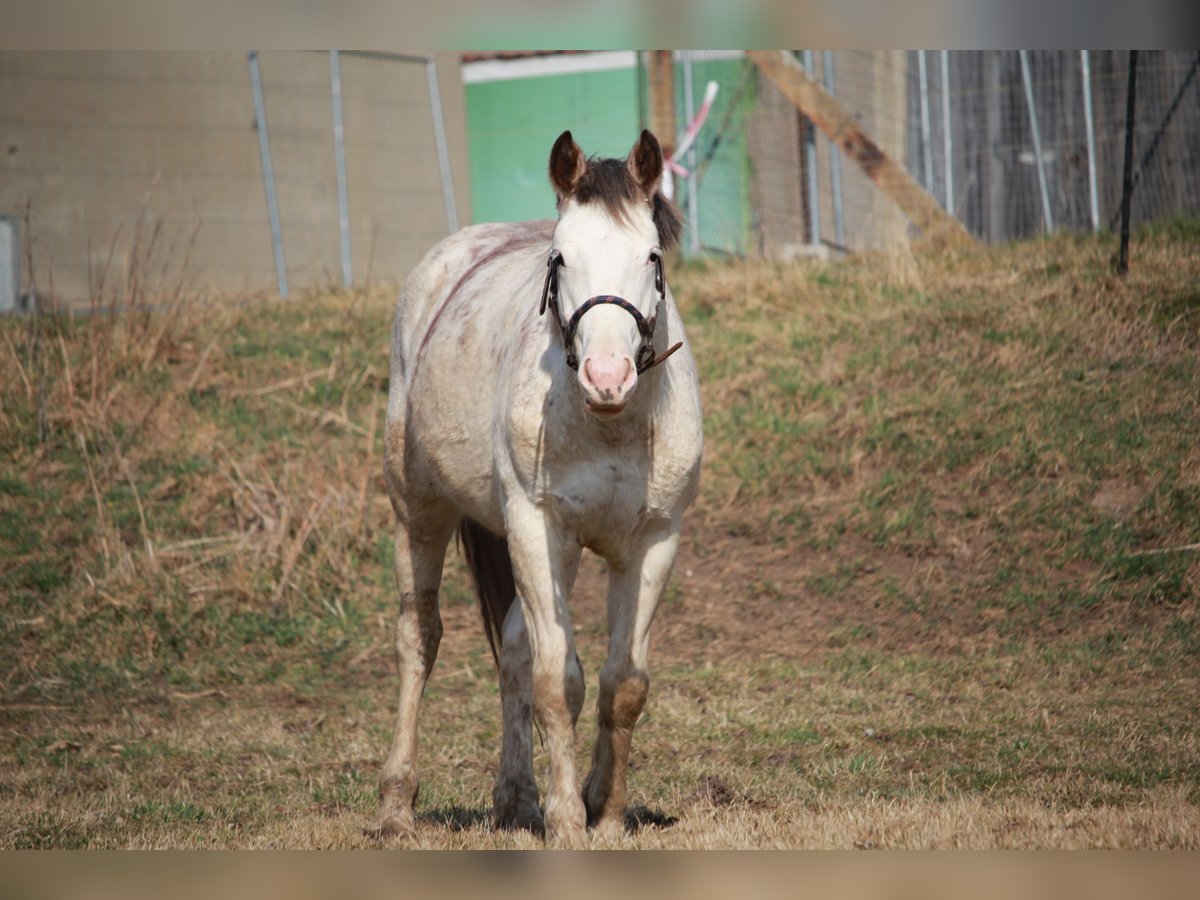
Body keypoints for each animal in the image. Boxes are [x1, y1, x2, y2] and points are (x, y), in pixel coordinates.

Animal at [369, 130, 700, 849]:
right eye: (560, 257)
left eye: (652, 255)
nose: (607, 375)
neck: (608, 426)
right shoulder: (536, 527)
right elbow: (558, 682)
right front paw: (570, 823)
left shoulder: (653, 541)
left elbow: (622, 684)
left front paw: (605, 812)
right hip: (420, 511)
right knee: (420, 636)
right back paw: (396, 805)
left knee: (515, 647)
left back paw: (515, 800)